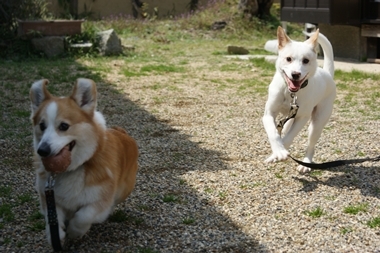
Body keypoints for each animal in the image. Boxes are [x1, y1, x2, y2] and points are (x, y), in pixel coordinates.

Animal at [30, 78, 140, 247]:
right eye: (42, 126)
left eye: (64, 126)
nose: (42, 151)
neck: (73, 167)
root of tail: (122, 132)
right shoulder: (48, 197)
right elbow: (52, 219)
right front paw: (55, 236)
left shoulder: (100, 199)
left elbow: (84, 216)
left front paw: (75, 232)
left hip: (123, 191)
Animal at [262, 26, 336, 172]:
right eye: (288, 59)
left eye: (306, 60)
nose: (295, 74)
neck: (290, 93)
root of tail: (327, 73)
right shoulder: (268, 114)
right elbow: (273, 133)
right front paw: (278, 151)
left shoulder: (302, 118)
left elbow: (287, 138)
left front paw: (280, 151)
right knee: (285, 129)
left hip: (316, 124)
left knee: (311, 145)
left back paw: (305, 163)